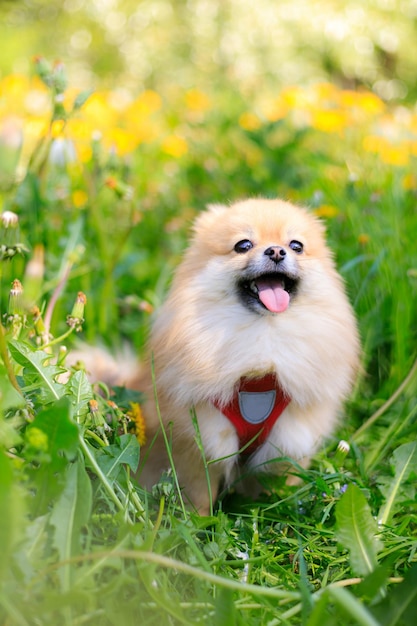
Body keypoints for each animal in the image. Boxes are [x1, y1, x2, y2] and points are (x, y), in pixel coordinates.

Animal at [77, 199, 358, 512]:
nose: (276, 251)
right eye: (243, 245)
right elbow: (198, 493)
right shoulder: (199, 441)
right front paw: (193, 521)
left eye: (296, 245)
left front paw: (274, 511)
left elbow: (275, 489)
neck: (263, 340)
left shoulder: (289, 438)